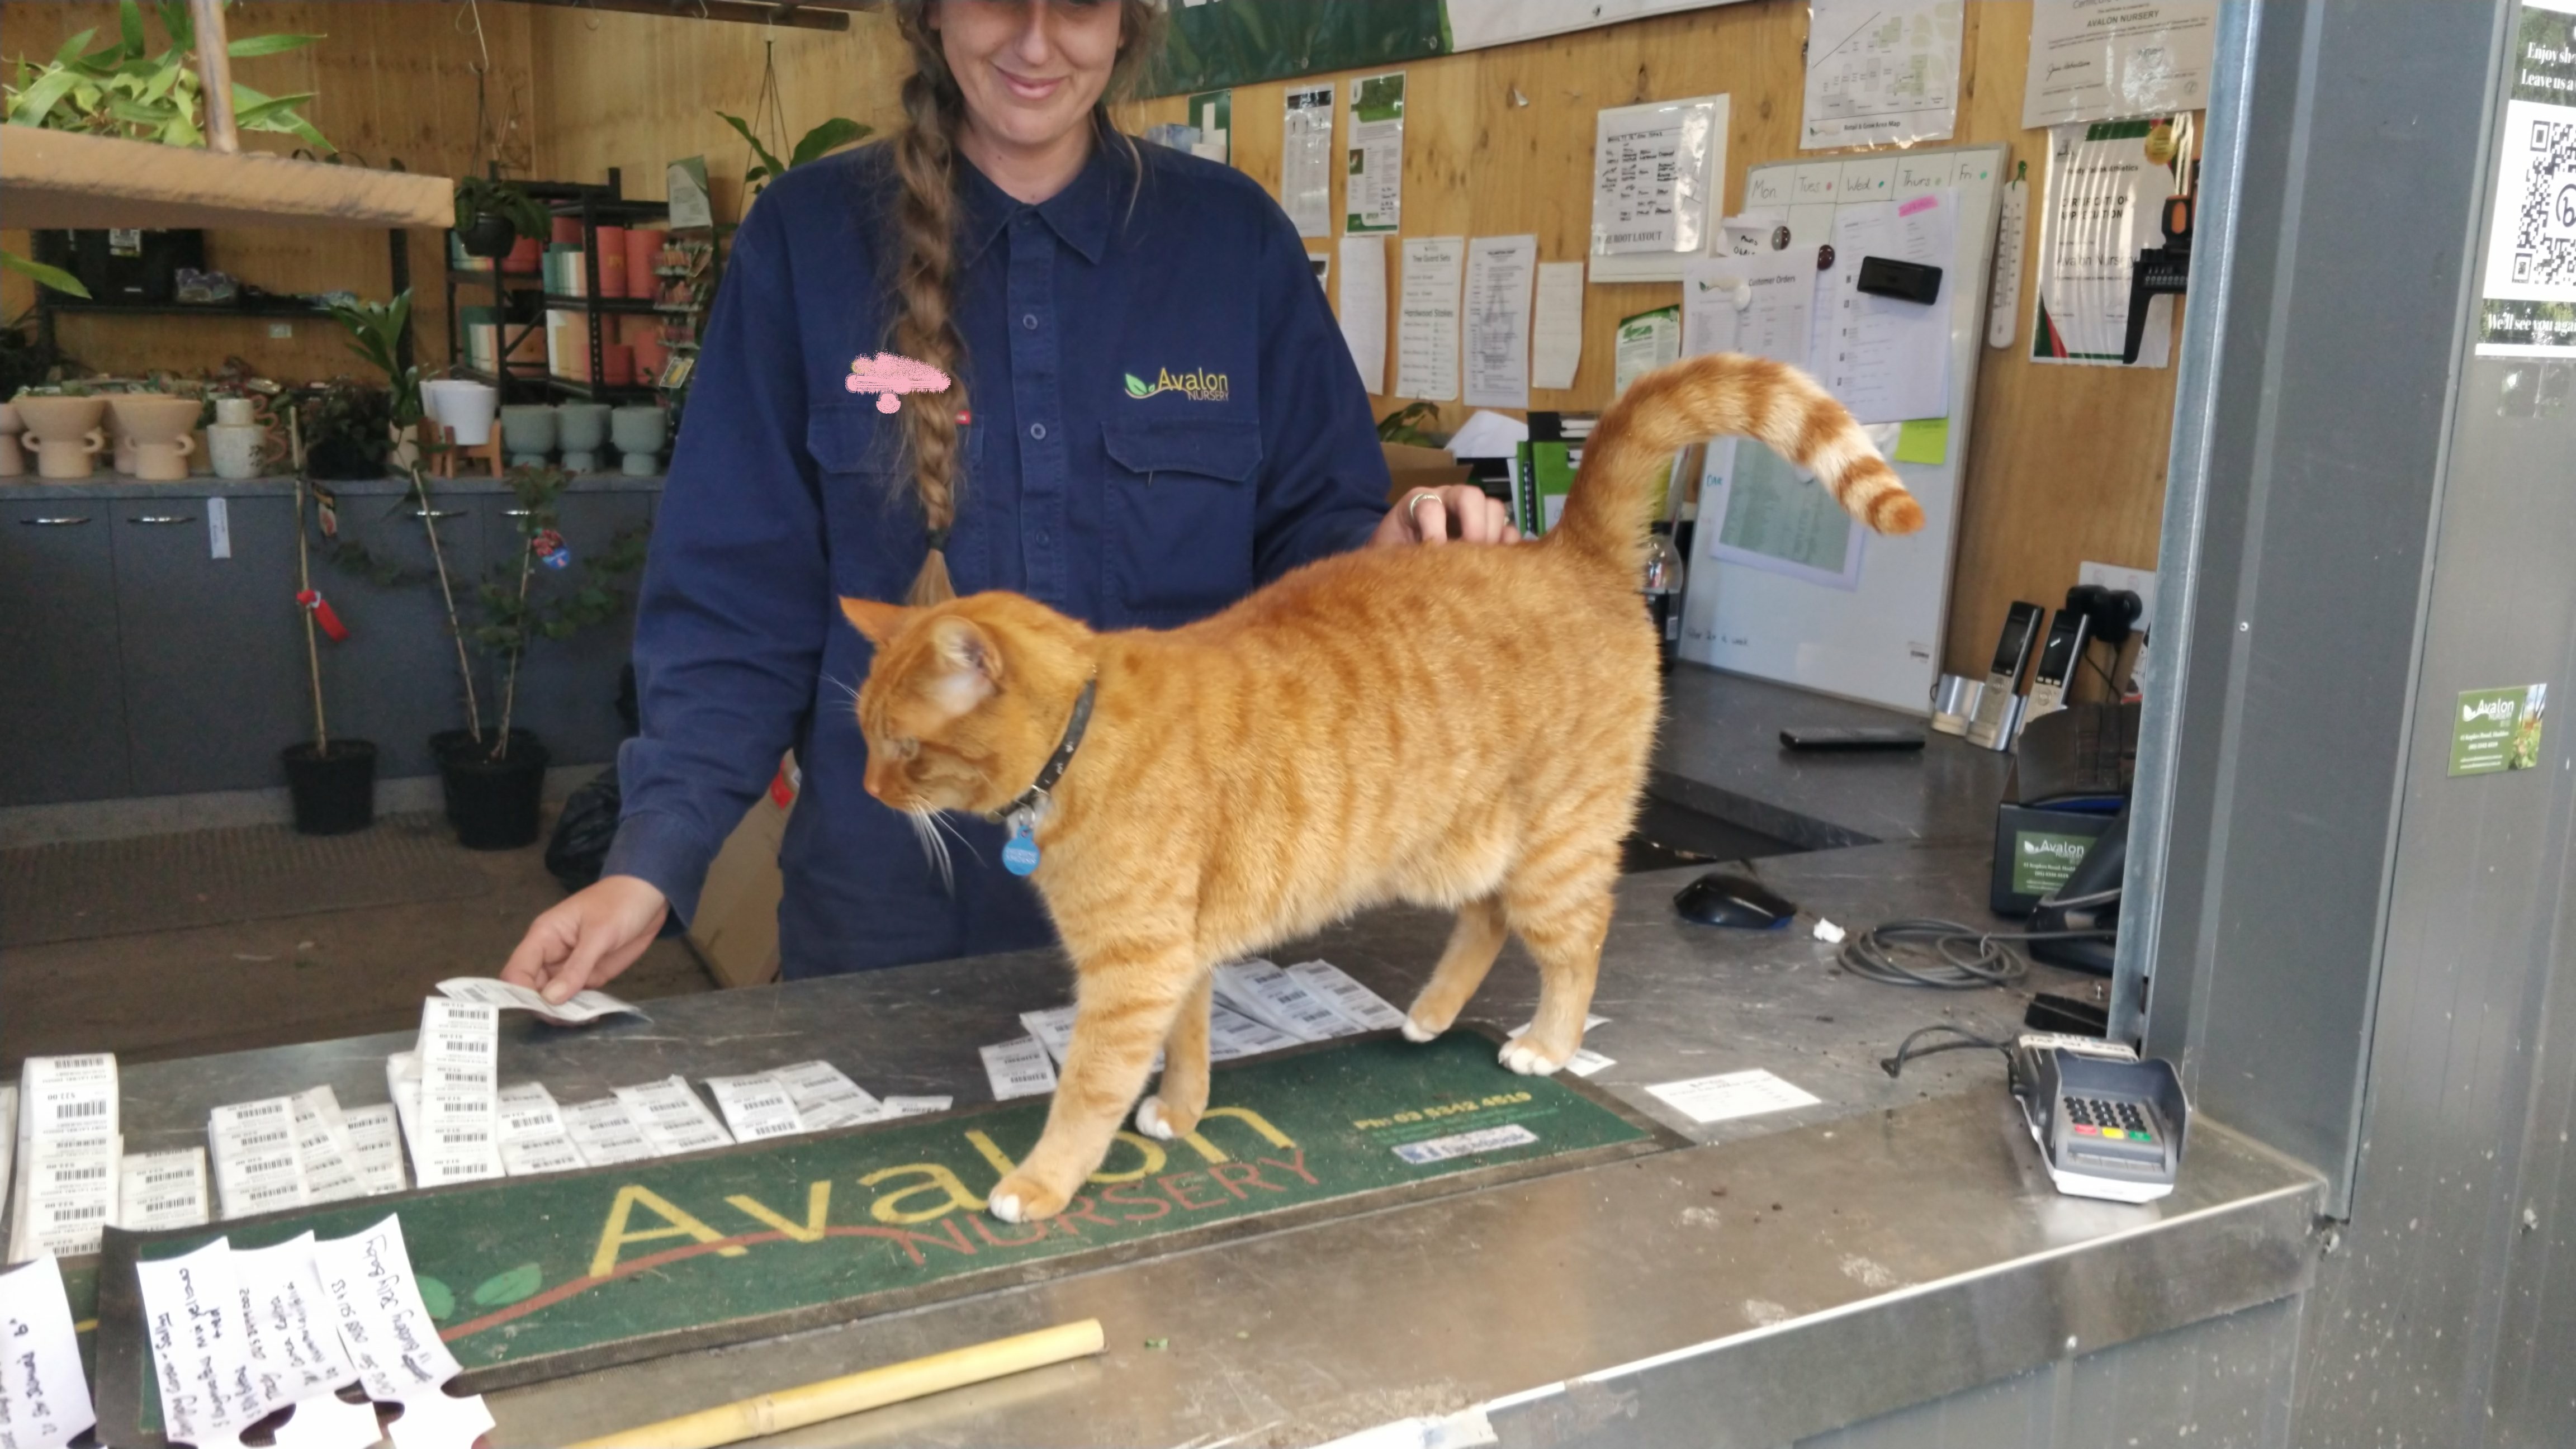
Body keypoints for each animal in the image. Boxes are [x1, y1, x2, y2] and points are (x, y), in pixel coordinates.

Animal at [834, 353, 1926, 1216]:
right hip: (1468, 844)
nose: (871, 794)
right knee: (1487, 916)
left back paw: (1547, 1043)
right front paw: (1184, 1111)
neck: (1085, 728)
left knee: (1577, 945)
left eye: (903, 747)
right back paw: (1434, 1013)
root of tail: (1566, 547)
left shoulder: (1131, 968)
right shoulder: (1176, 956)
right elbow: (1189, 1042)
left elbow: (1087, 1093)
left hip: (1558, 847)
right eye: (865, 740)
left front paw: (1039, 1183)